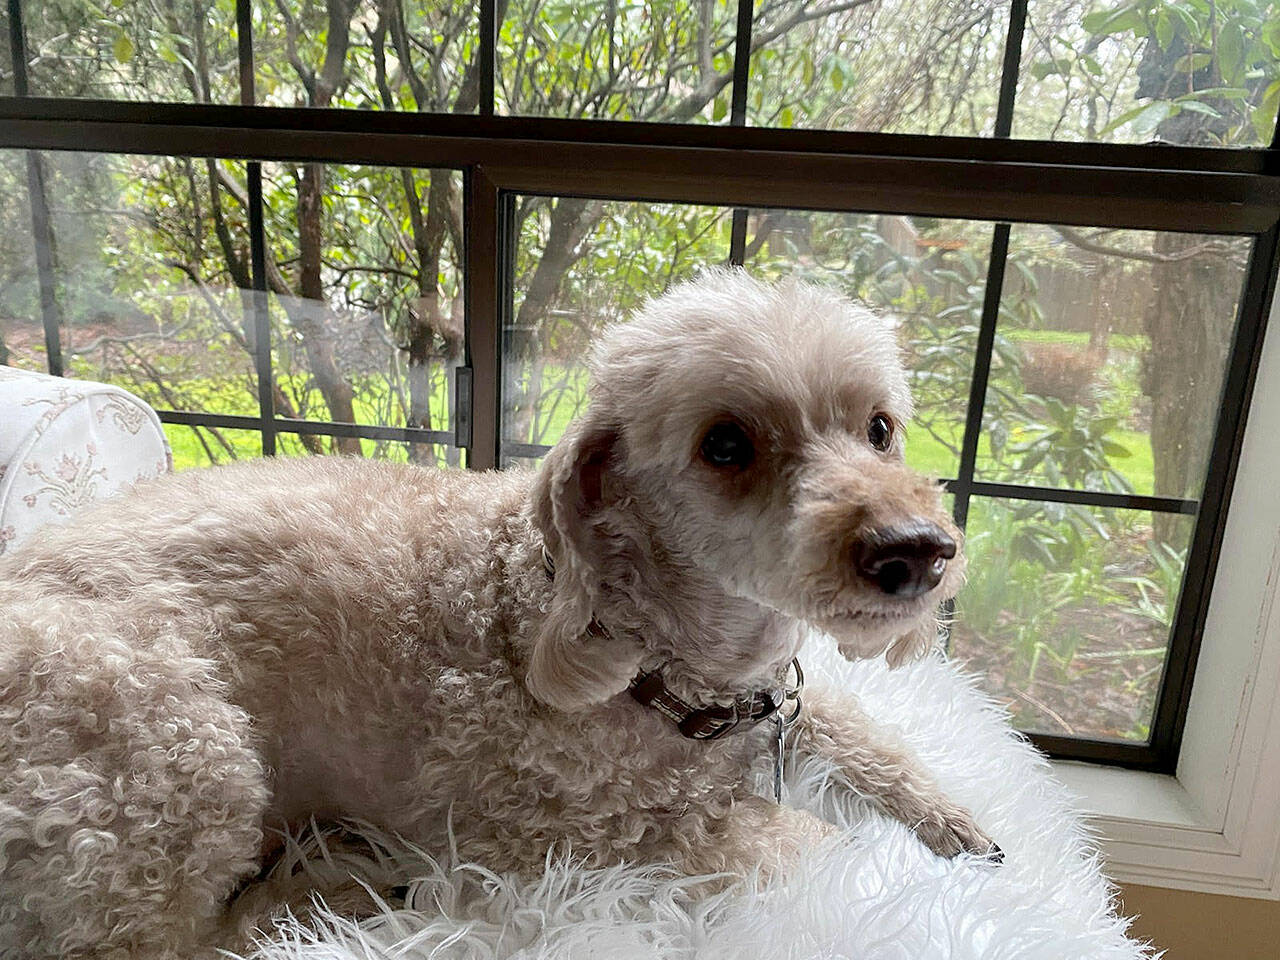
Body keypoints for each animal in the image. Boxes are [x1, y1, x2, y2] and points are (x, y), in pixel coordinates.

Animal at [0, 271, 993, 960]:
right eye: (725, 444)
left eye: (879, 429)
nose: (918, 552)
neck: (661, 664)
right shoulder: (568, 848)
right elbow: (783, 846)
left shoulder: (780, 708)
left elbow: (857, 739)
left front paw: (955, 825)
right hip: (175, 757)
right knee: (168, 943)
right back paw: (333, 888)